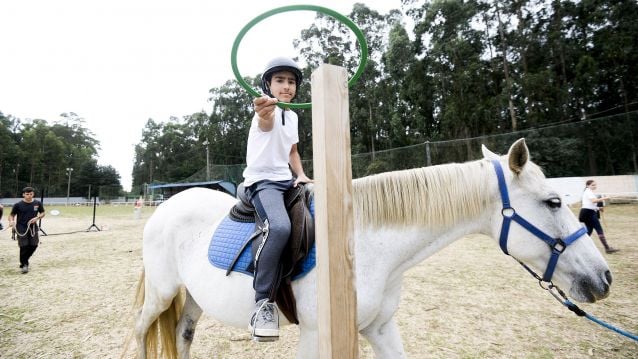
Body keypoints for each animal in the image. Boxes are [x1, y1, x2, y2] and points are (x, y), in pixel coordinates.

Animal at [129, 139, 608, 358]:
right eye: (553, 202)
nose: (603, 278)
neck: (362, 244)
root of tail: (166, 205)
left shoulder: (379, 328)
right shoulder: (317, 335)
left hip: (192, 298)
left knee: (182, 335)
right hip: (162, 294)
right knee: (139, 332)